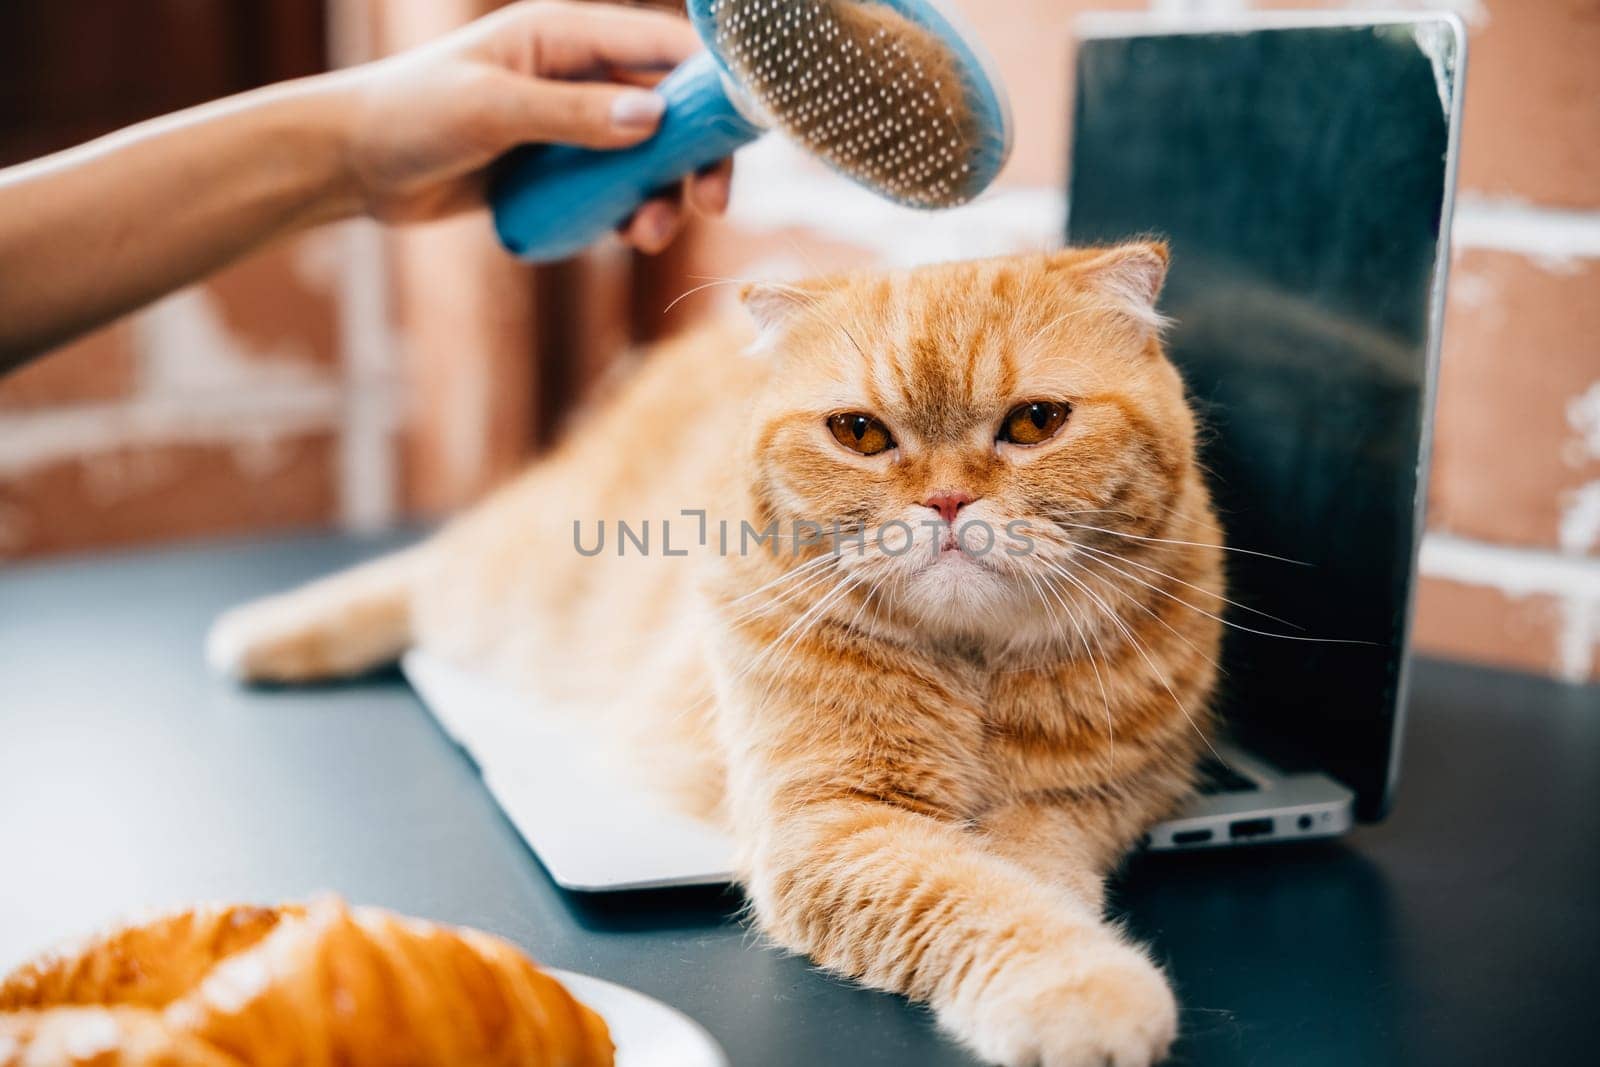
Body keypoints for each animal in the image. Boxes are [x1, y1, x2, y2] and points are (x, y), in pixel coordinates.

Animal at [206, 244, 1216, 1067]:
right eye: (860, 433)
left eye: (1036, 421)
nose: (947, 502)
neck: (973, 668)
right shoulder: (835, 823)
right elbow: (977, 897)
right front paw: (1083, 985)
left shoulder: (1084, 803)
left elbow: (1022, 878)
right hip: (517, 581)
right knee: (426, 572)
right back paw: (264, 633)